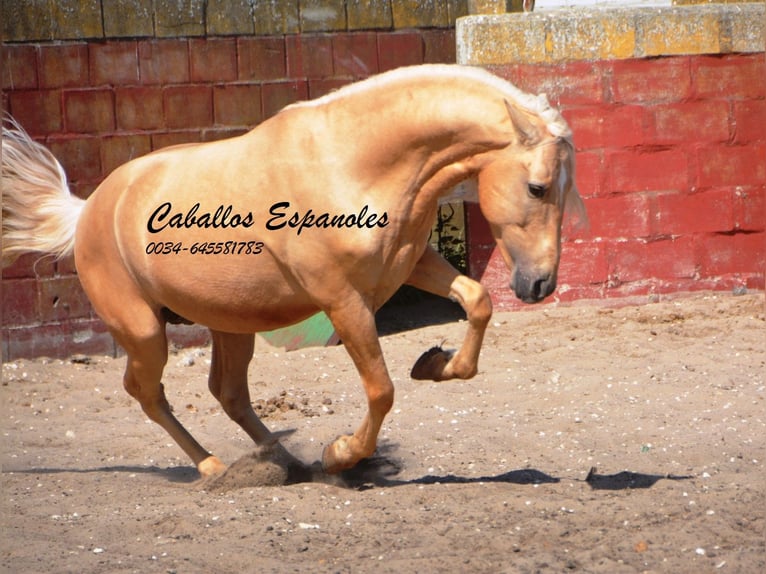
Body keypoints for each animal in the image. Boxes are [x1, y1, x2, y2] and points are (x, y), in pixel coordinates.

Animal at [3, 63, 584, 480]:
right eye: (537, 188)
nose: (539, 285)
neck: (349, 163)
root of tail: (87, 212)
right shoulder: (343, 301)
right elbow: (381, 389)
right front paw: (342, 454)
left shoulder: (410, 265)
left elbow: (476, 300)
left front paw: (435, 364)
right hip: (144, 331)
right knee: (146, 392)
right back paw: (214, 467)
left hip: (230, 324)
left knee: (228, 393)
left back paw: (282, 462)